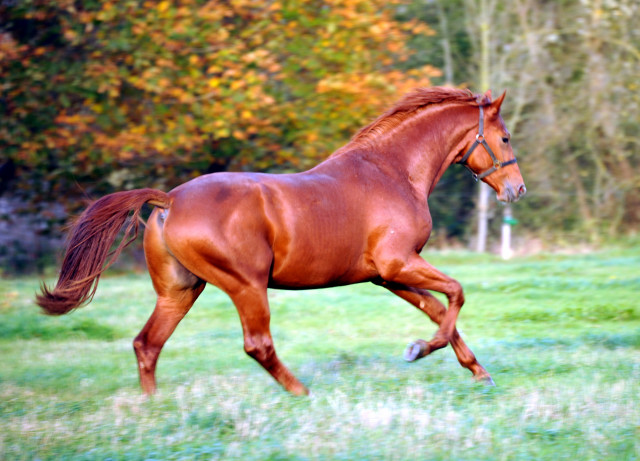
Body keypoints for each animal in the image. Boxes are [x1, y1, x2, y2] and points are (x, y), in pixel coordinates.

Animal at [36, 87, 524, 396]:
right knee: (257, 344)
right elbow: (456, 295)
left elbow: (440, 311)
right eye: (504, 137)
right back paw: (301, 392)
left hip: (180, 290)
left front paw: (477, 373)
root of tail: (169, 200)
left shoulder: (386, 276)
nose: (516, 190)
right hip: (246, 285)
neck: (392, 172)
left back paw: (152, 408)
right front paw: (419, 350)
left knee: (147, 344)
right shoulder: (397, 263)